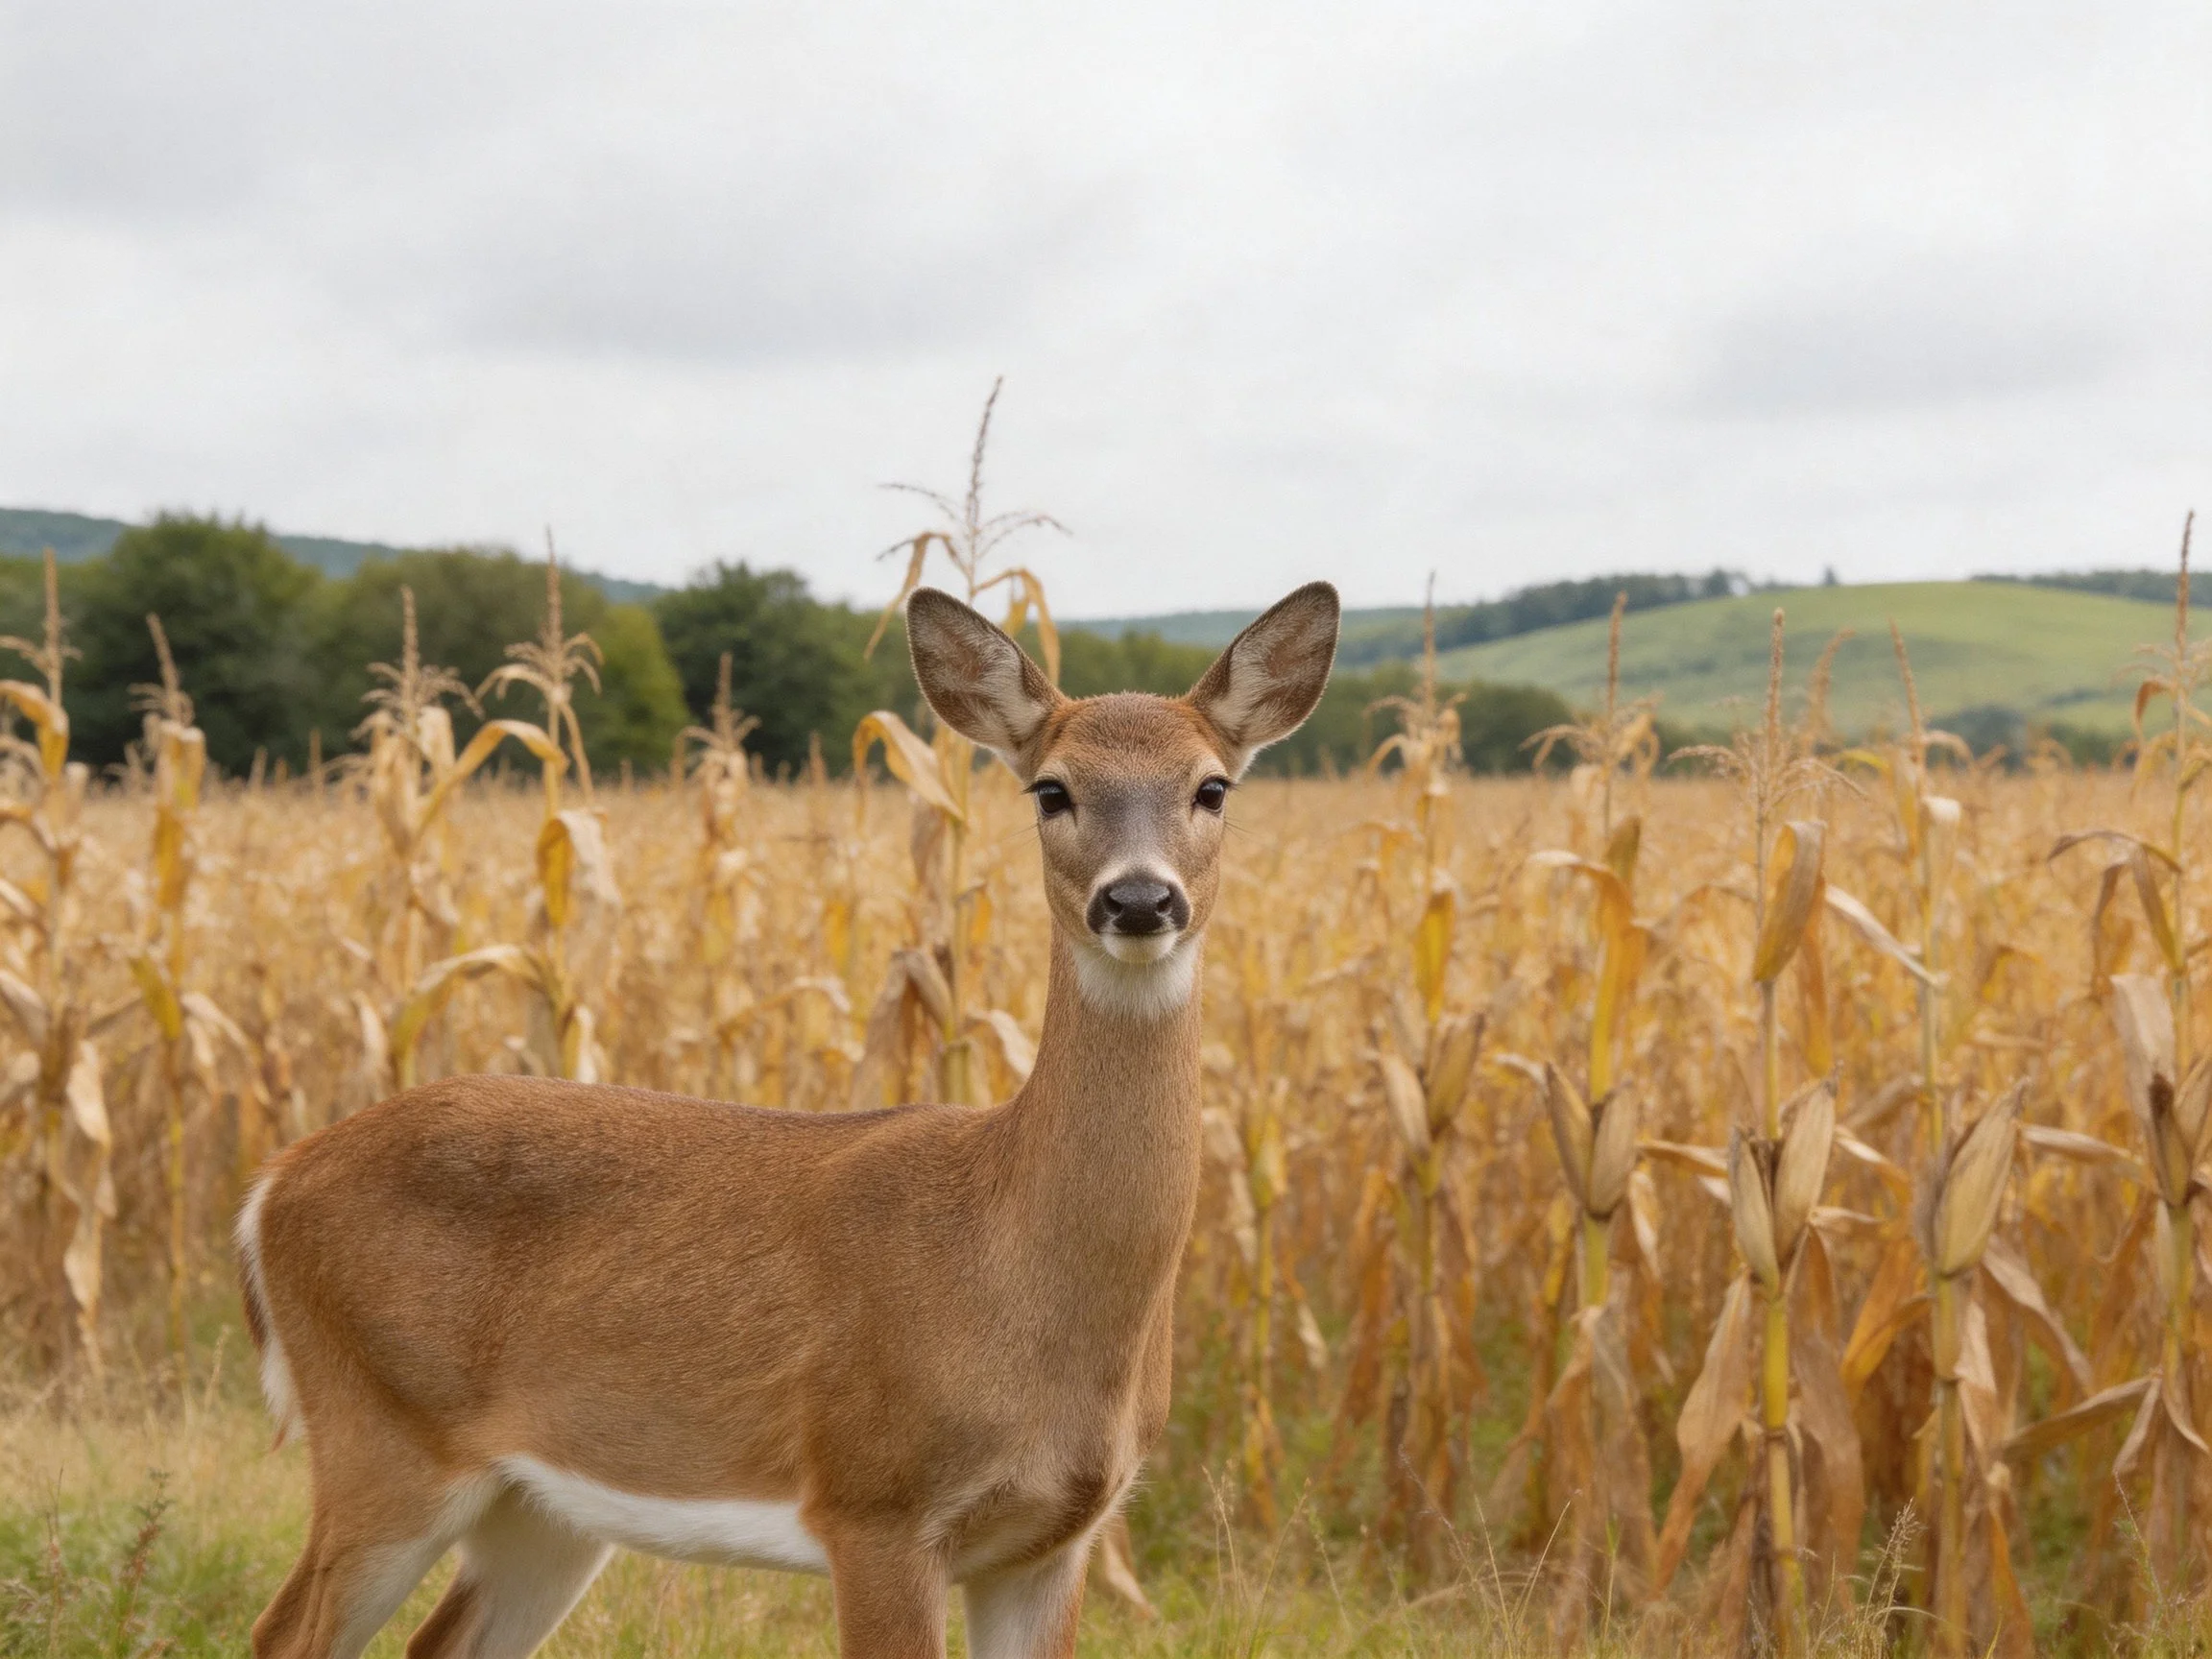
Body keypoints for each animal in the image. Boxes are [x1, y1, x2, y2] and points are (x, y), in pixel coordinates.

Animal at [236, 579, 1340, 1659]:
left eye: (1213, 787)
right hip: (384, 1431)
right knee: (283, 1630)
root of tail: (271, 1185)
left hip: (541, 1504)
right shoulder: (874, 1500)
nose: (1141, 900)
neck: (1014, 1261)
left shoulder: (1052, 1543)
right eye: (1050, 789)